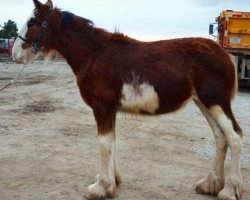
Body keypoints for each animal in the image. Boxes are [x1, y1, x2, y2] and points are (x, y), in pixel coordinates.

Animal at [12, 0, 244, 199]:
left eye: (32, 22)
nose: (14, 54)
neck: (94, 55)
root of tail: (225, 54)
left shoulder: (102, 108)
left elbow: (104, 144)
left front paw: (101, 188)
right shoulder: (110, 110)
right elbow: (112, 142)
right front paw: (112, 181)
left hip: (216, 102)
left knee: (234, 137)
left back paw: (229, 191)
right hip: (204, 103)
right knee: (220, 137)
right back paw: (210, 184)